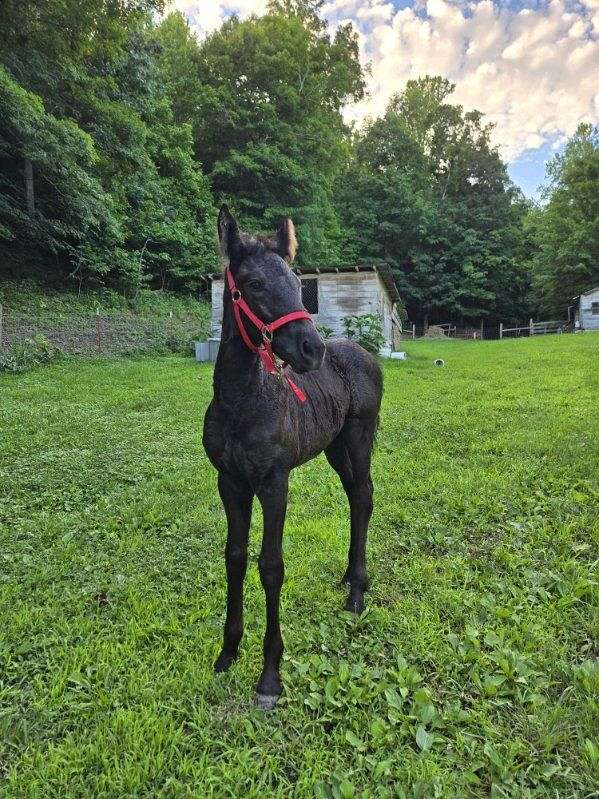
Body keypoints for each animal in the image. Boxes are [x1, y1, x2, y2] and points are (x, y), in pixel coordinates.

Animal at [203, 206, 383, 709]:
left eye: (298, 283)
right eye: (254, 284)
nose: (310, 349)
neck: (243, 402)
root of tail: (365, 354)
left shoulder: (274, 482)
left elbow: (271, 566)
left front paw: (269, 675)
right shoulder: (230, 482)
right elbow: (235, 556)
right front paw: (228, 652)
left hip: (360, 437)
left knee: (364, 496)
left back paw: (357, 595)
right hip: (335, 448)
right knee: (354, 498)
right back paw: (349, 578)